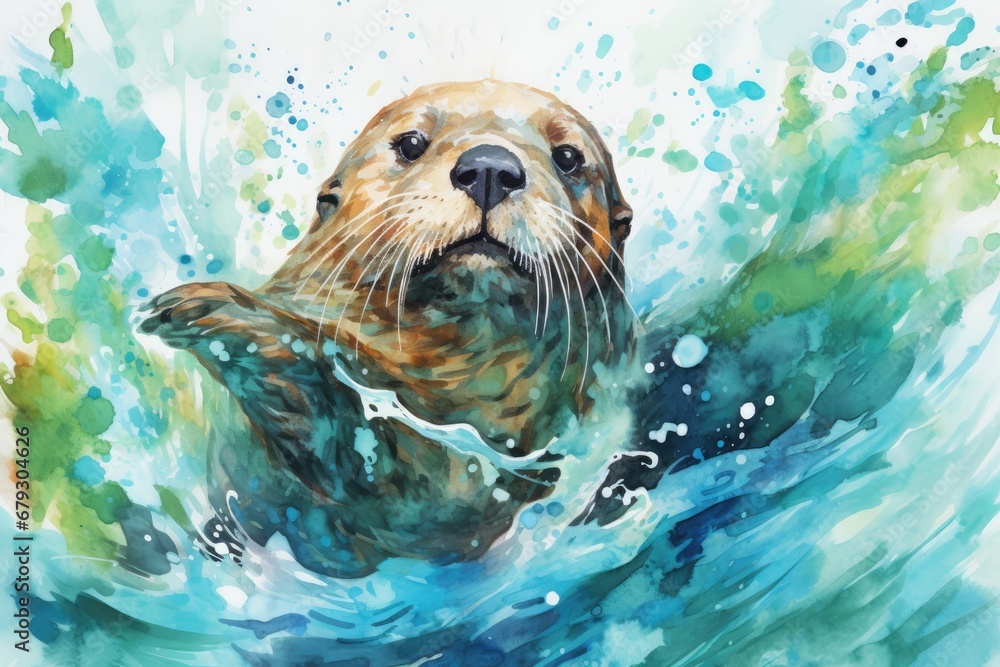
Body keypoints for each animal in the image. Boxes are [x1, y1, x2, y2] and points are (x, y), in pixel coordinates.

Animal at [140, 79, 634, 577]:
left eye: (568, 156)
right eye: (411, 143)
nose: (490, 167)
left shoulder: (492, 463)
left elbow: (393, 472)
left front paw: (218, 310)